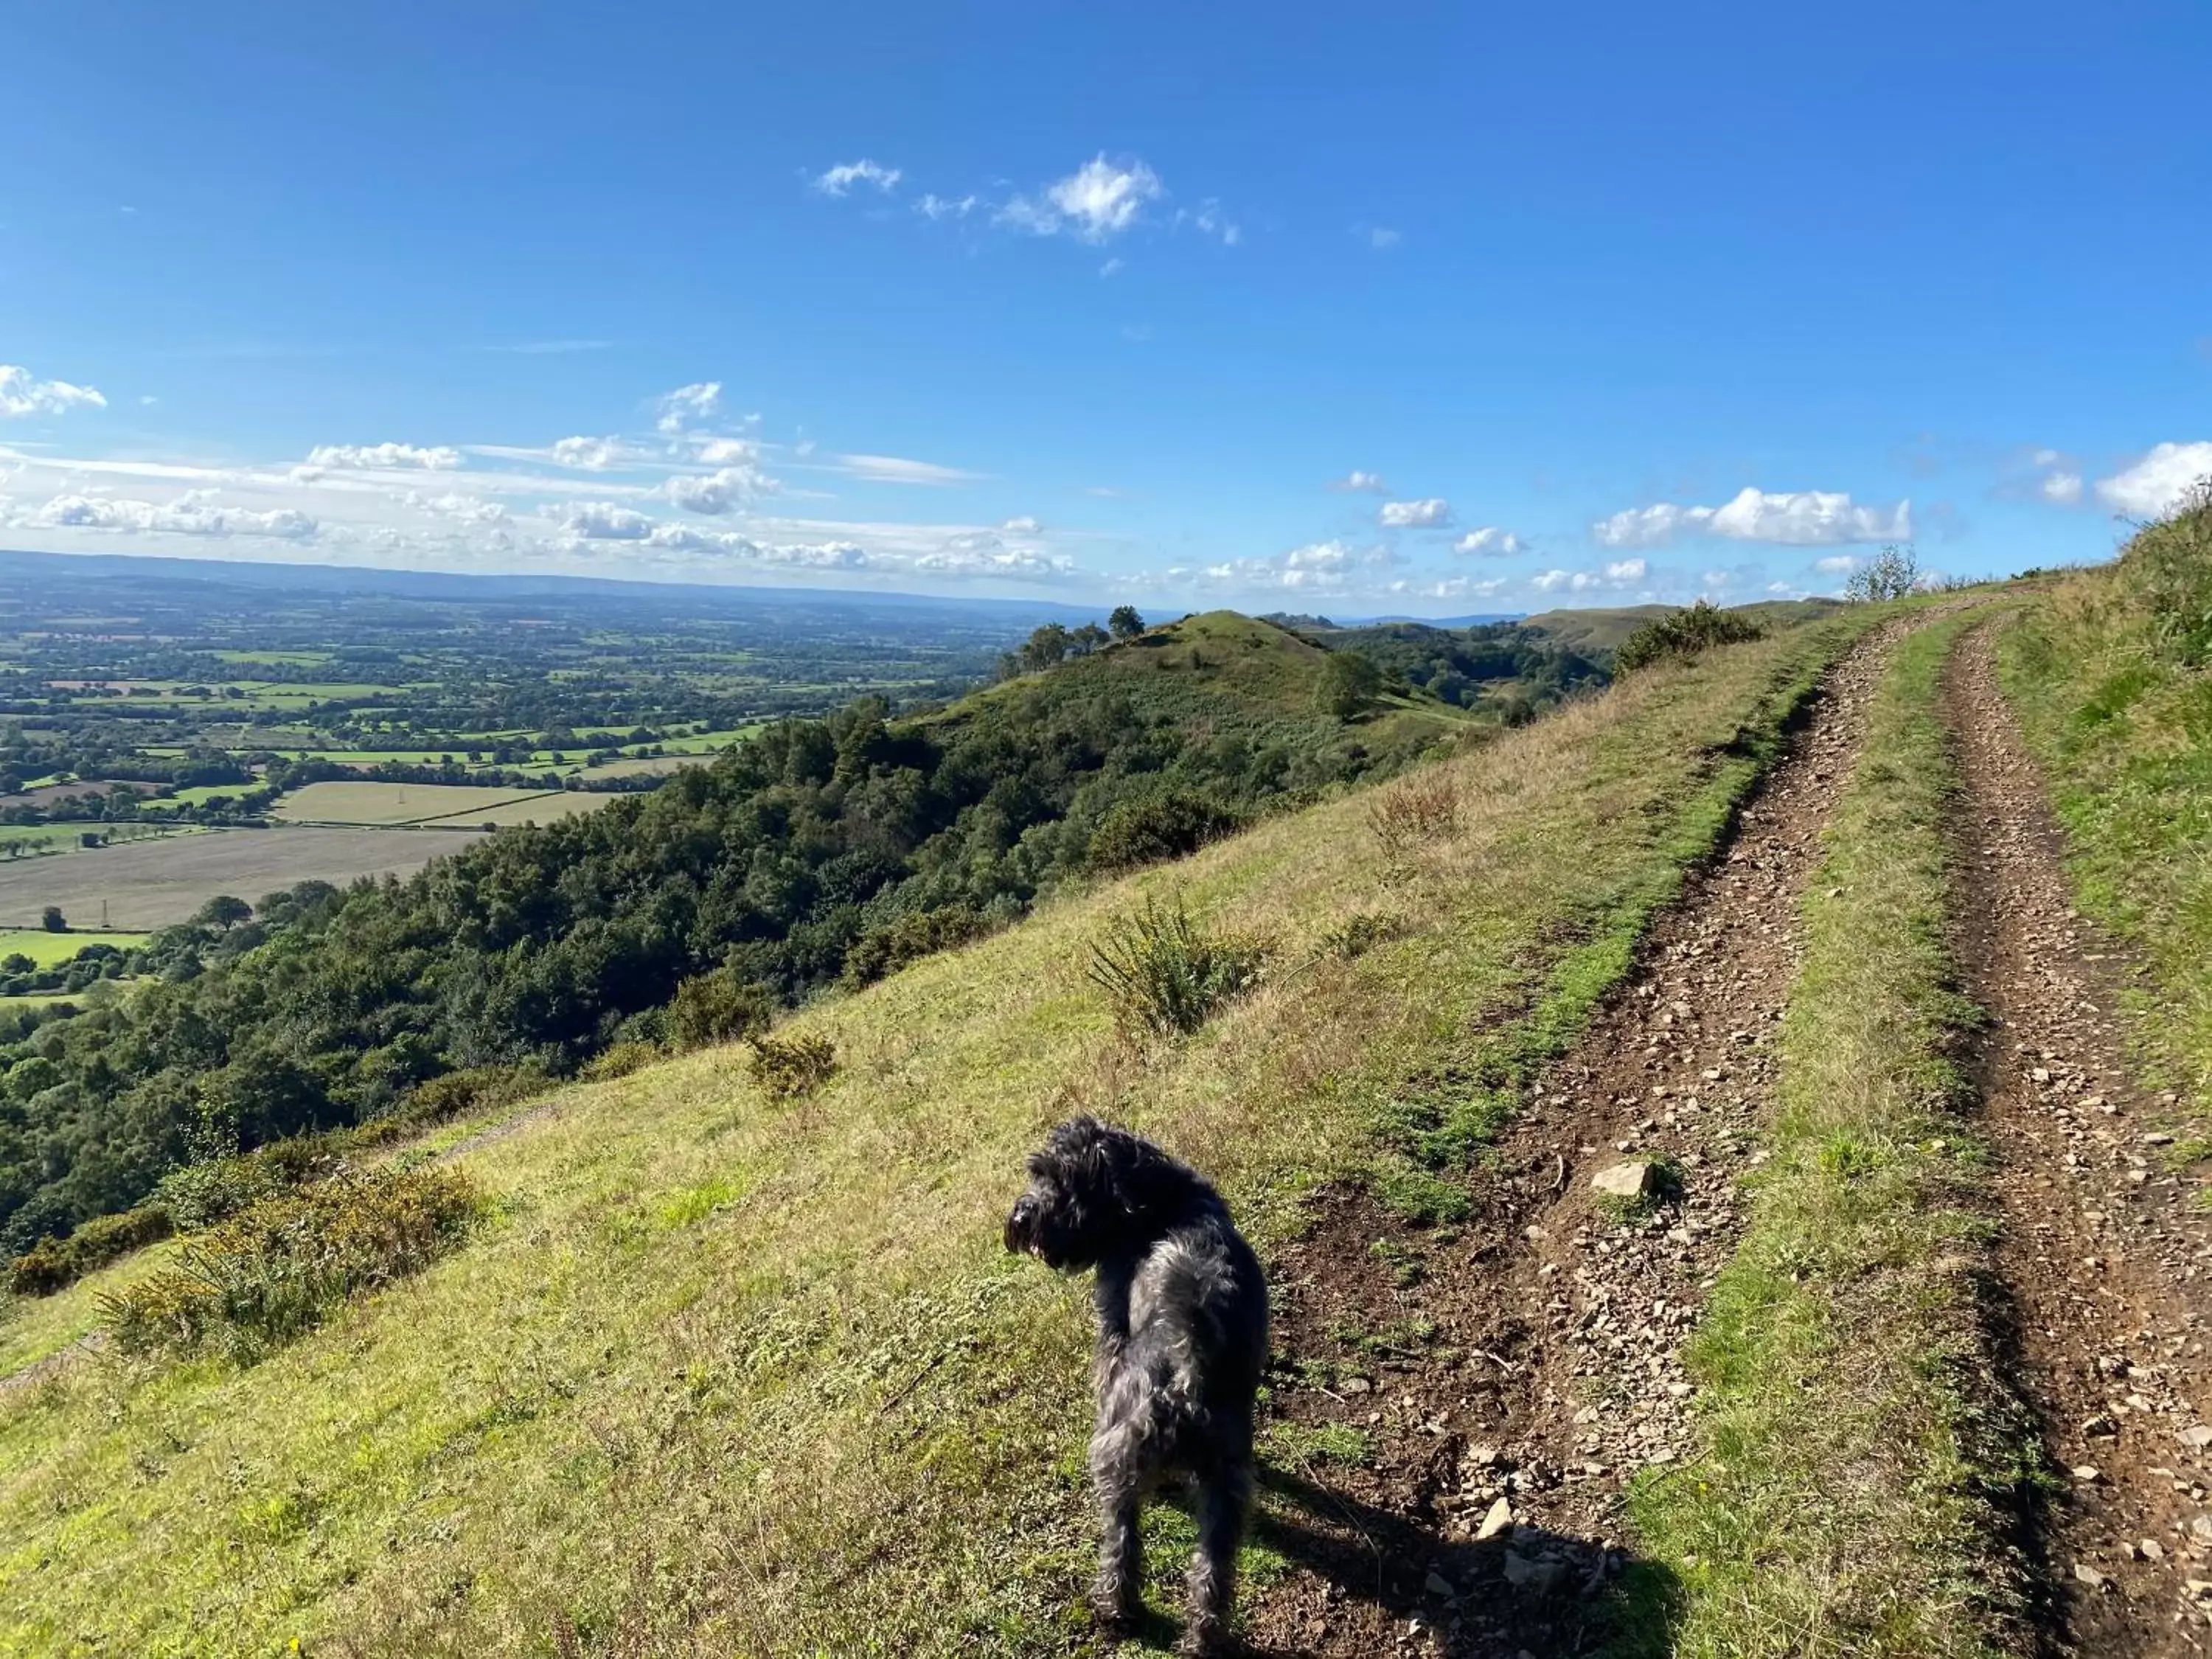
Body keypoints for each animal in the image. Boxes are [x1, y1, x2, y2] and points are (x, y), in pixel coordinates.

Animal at [1000, 1124, 1265, 1655]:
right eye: (1037, 1171)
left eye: (1058, 1178)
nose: (1019, 1218)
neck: (1156, 1200)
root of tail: (1188, 1371)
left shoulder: (1111, 1333)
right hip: (1225, 1486)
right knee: (1212, 1574)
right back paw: (1204, 1640)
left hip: (1114, 1456)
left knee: (1121, 1543)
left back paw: (1115, 1611)